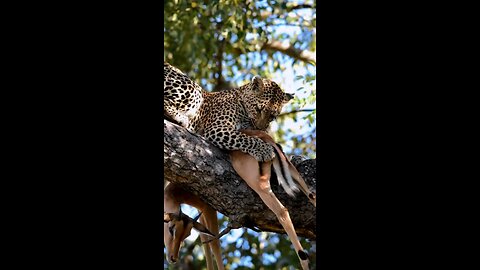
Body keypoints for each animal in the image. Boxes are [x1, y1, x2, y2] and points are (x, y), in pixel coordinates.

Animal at [164, 62, 292, 161]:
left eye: (272, 117)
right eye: (258, 109)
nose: (259, 128)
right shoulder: (217, 128)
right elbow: (244, 138)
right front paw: (264, 149)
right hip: (193, 91)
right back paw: (182, 118)